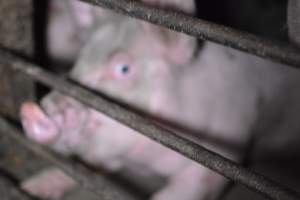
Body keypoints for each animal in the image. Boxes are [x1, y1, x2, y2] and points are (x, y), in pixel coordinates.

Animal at [19, 0, 300, 200]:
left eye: (123, 68)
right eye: (80, 59)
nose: (33, 109)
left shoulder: (222, 157)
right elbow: (81, 167)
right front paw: (29, 187)